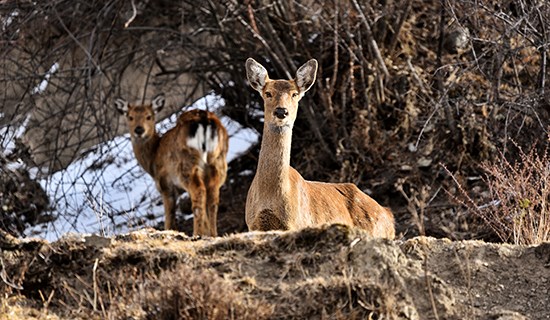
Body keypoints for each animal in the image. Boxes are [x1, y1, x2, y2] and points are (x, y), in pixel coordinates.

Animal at [114, 94, 229, 236]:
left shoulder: (165, 184)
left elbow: (169, 217)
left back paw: (196, 234)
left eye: (149, 116)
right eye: (130, 117)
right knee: (213, 196)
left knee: (199, 192)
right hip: (218, 161)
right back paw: (213, 234)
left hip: (187, 165)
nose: (139, 130)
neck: (153, 158)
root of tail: (204, 119)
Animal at [246, 57, 396, 239]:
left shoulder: (296, 225)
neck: (270, 196)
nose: (281, 111)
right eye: (268, 93)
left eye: (294, 94)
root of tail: (389, 215)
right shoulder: (253, 225)